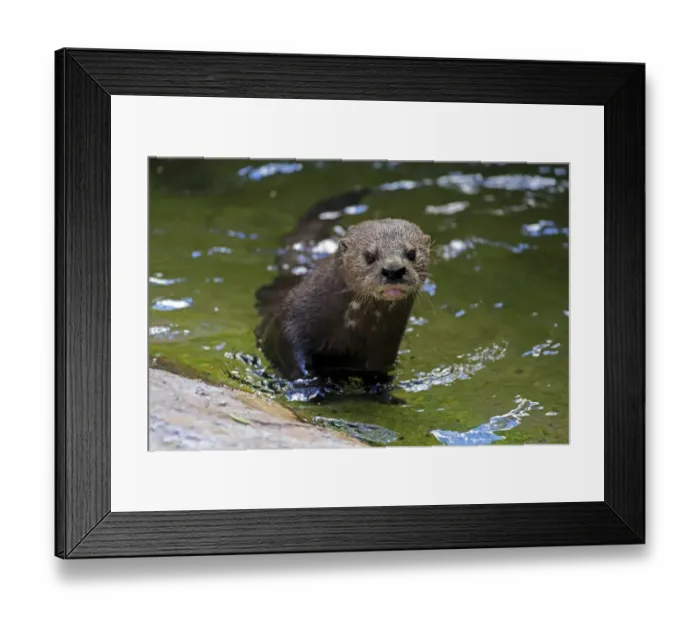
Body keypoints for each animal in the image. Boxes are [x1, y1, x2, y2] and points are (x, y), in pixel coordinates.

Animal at [254, 192, 431, 399]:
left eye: (412, 253)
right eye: (369, 256)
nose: (394, 270)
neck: (350, 330)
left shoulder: (384, 351)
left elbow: (378, 375)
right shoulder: (288, 327)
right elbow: (293, 360)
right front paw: (313, 387)